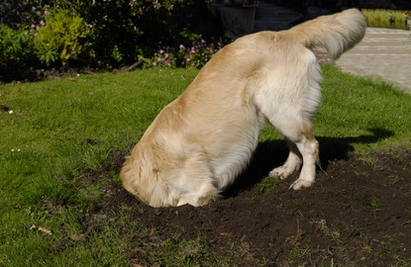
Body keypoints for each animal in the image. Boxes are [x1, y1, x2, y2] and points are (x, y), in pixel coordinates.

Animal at [120, 8, 368, 208]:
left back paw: (305, 180)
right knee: (295, 146)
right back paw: (285, 170)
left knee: (310, 145)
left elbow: (187, 201)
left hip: (283, 110)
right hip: (277, 111)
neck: (151, 164)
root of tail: (285, 33)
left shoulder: (201, 188)